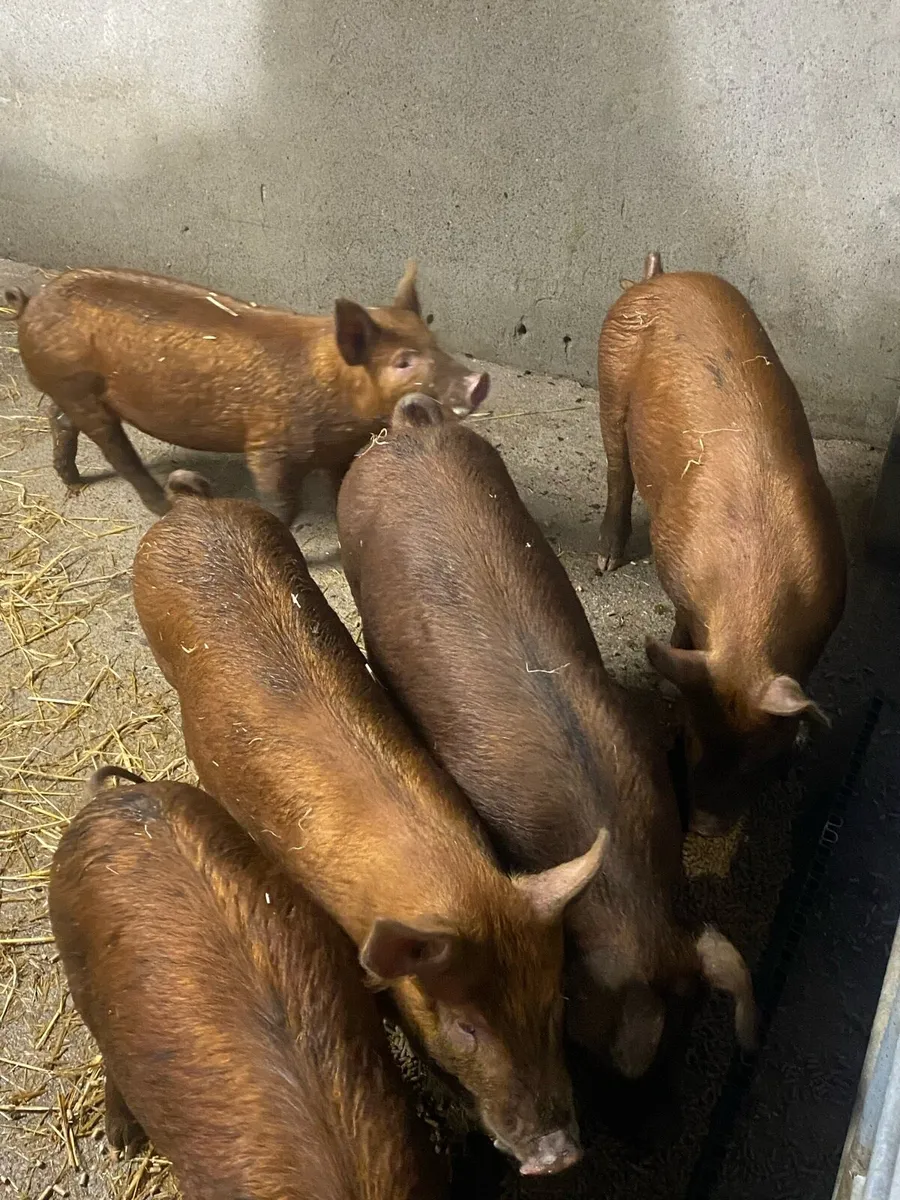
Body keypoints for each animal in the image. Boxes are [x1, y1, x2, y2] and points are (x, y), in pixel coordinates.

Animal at [3, 262, 488, 520]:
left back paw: (72, 480)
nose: (477, 381)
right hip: (82, 390)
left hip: (72, 391)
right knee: (114, 448)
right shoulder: (269, 447)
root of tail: (30, 303)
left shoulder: (338, 448)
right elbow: (281, 502)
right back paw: (158, 505)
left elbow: (340, 483)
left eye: (434, 341)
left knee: (58, 419)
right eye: (403, 361)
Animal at [596, 253, 847, 835]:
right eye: (689, 739)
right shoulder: (677, 566)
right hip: (609, 379)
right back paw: (606, 560)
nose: (706, 827)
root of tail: (657, 278)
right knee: (618, 472)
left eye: (763, 758)